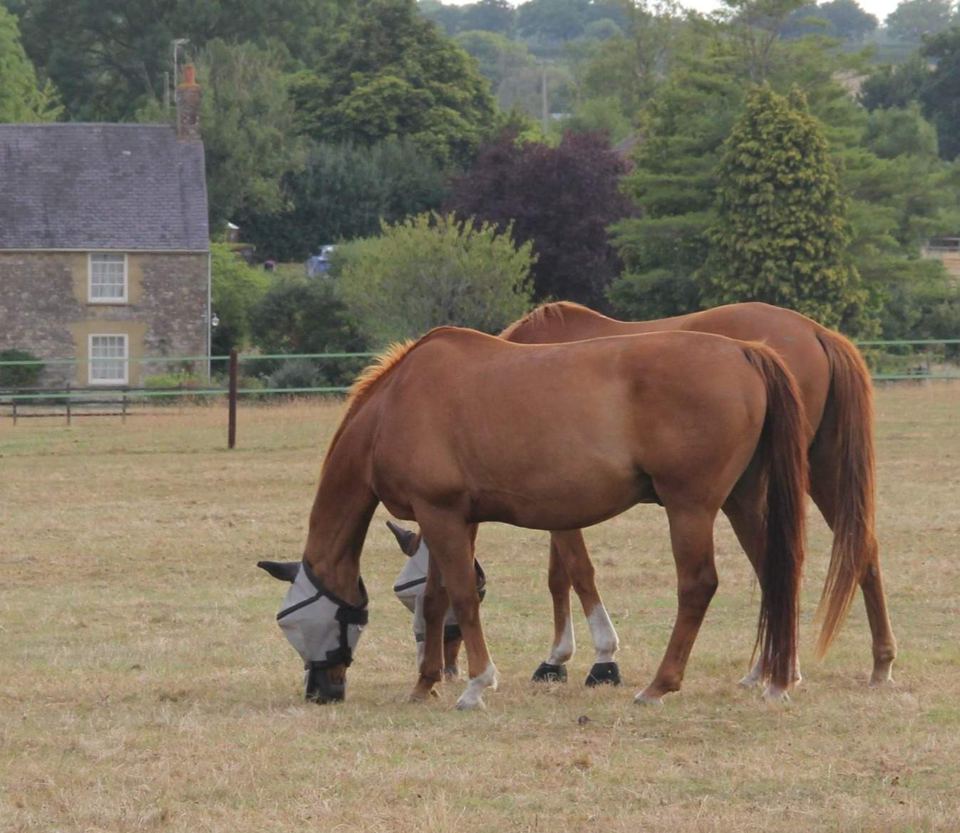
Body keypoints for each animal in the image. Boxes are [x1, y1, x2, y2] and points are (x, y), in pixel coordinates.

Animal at [258, 325, 808, 709]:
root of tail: (743, 351)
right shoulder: (452, 520)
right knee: (776, 575)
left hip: (690, 508)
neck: (395, 404)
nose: (321, 692)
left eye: (291, 623)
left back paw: (660, 684)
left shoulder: (442, 515)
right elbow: (437, 601)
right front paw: (424, 684)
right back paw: (777, 679)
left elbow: (462, 597)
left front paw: (477, 684)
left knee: (698, 585)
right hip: (741, 502)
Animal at [399, 301, 892, 689]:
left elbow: (576, 572)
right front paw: (560, 658)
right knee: (859, 550)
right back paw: (874, 662)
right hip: (820, 472)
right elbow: (560, 576)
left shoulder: (562, 505)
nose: (441, 666)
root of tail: (816, 332)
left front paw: (596, 659)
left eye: (414, 596)